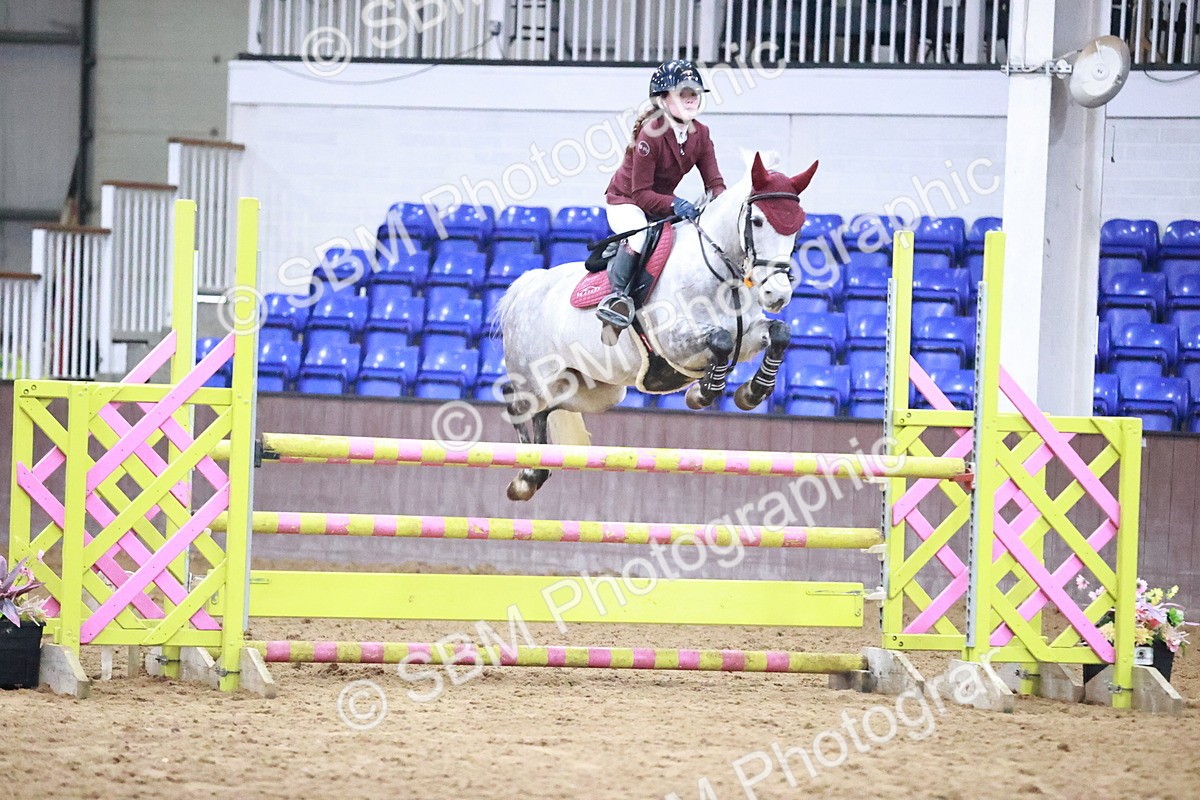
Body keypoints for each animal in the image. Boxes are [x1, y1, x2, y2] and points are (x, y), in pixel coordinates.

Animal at [494, 151, 818, 501]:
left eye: (798, 225)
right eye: (757, 221)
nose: (777, 295)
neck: (718, 275)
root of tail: (526, 286)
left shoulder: (744, 337)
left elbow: (778, 333)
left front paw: (751, 391)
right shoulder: (673, 340)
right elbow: (718, 340)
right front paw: (703, 393)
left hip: (595, 391)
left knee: (546, 409)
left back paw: (534, 471)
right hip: (535, 375)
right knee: (516, 400)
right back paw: (526, 477)